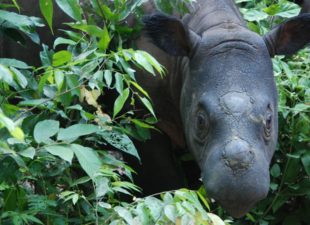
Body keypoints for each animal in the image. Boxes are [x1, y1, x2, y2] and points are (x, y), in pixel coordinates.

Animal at [134, 0, 310, 217]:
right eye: (200, 121)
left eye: (269, 121)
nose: (239, 191)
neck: (221, 26)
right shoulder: (142, 112)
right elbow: (163, 182)